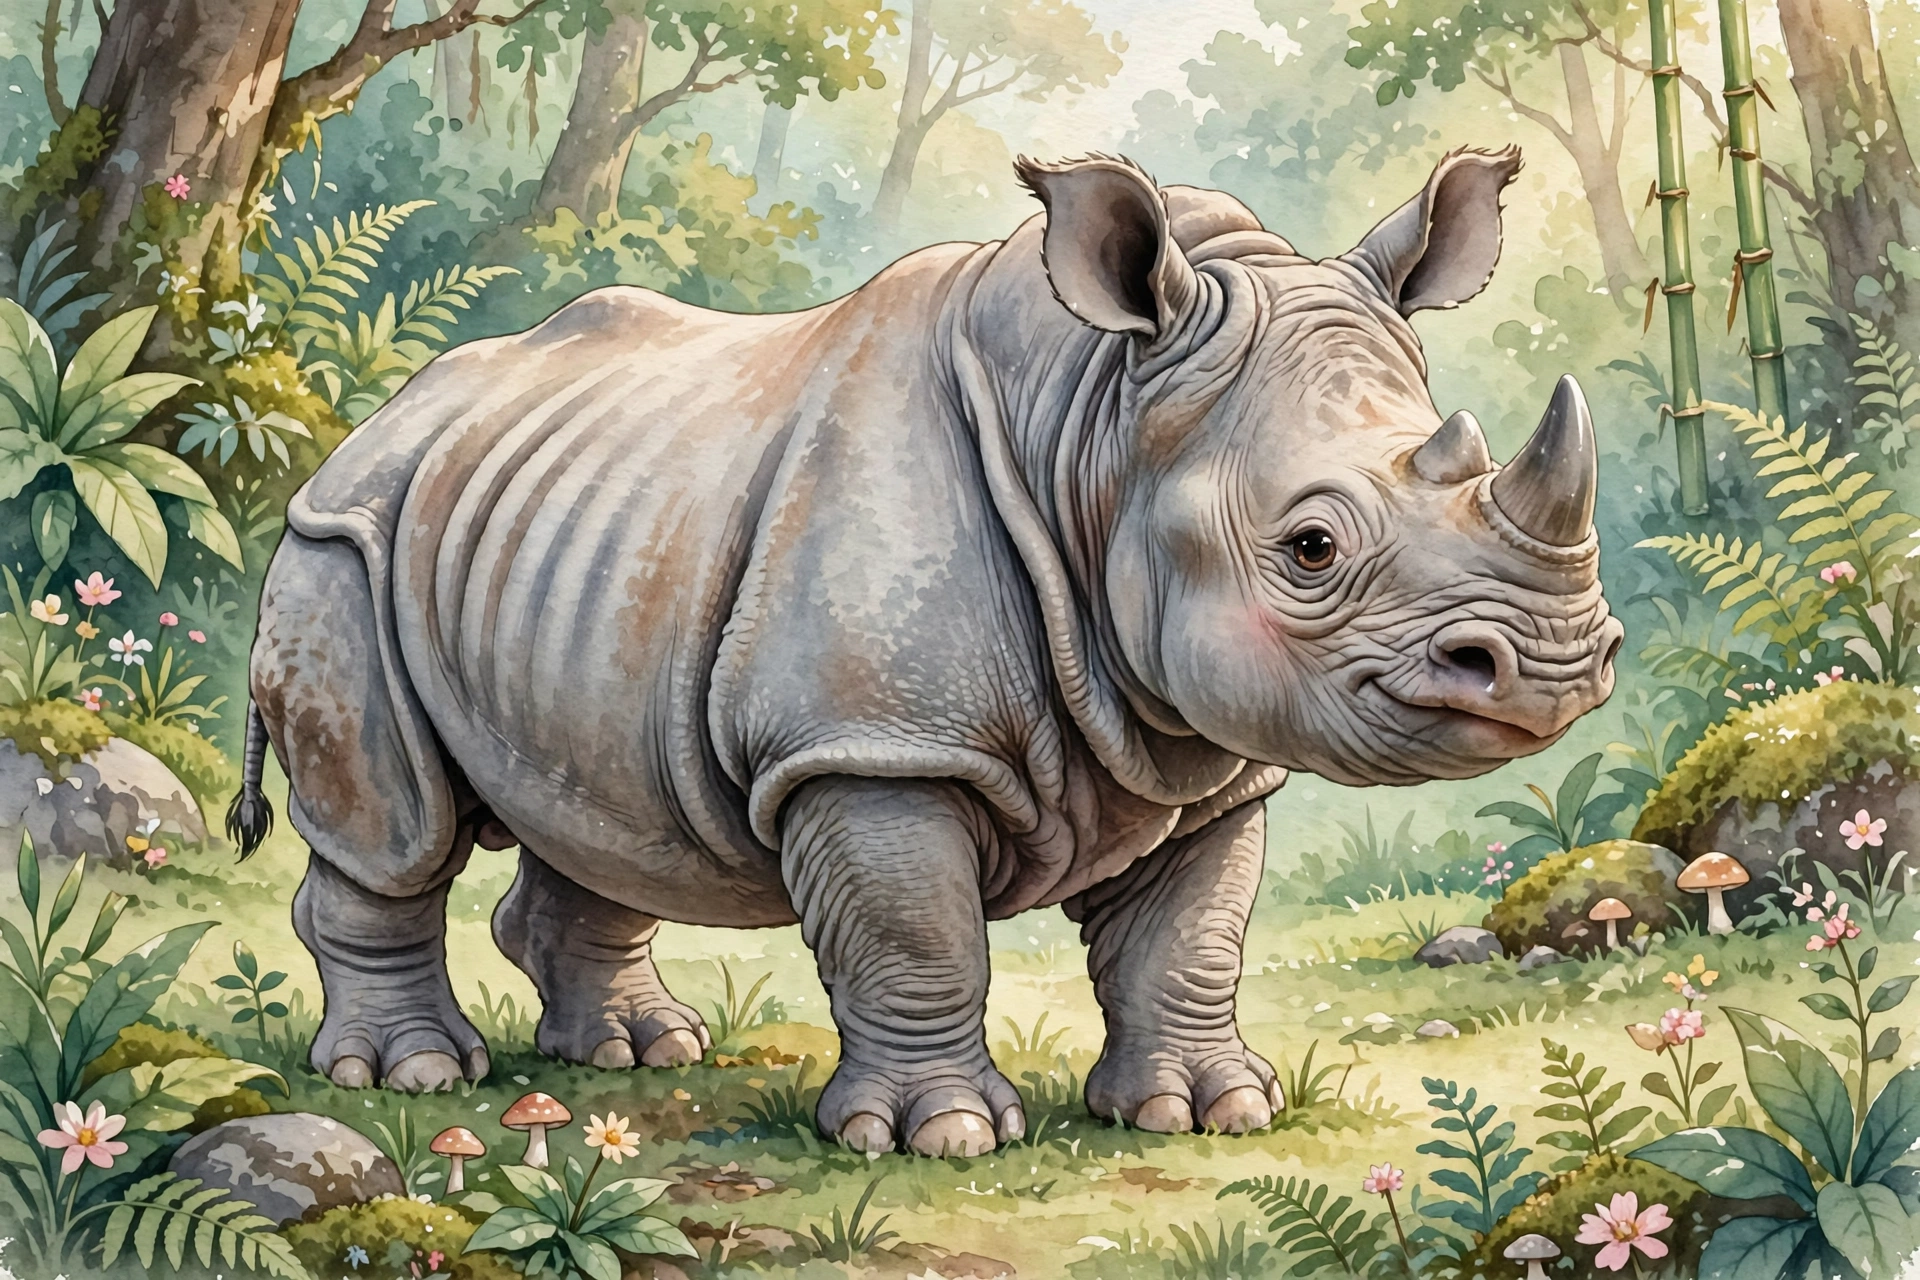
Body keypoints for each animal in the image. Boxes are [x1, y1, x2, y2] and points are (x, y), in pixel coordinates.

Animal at [232, 147, 1621, 1156]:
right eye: (1312, 547)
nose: (1555, 665)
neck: (1097, 422)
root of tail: (378, 417)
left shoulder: (1202, 750)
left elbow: (1192, 930)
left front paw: (1207, 1112)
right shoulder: (871, 742)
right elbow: (915, 932)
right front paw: (937, 1136)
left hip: (575, 531)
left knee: (607, 801)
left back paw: (639, 1053)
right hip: (341, 539)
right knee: (395, 827)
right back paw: (413, 1071)